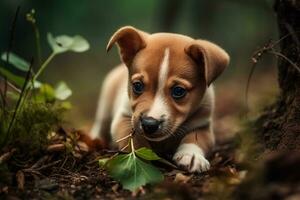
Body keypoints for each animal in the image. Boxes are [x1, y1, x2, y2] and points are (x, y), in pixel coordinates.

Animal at [90, 25, 229, 173]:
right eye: (137, 86)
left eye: (178, 91)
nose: (149, 124)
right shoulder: (124, 118)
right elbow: (135, 141)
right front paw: (137, 158)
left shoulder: (202, 126)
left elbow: (195, 139)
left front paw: (191, 155)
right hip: (105, 106)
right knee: (100, 125)